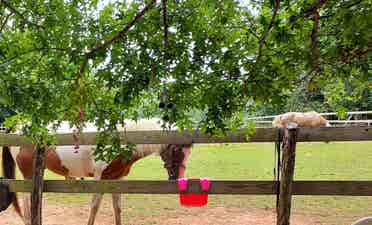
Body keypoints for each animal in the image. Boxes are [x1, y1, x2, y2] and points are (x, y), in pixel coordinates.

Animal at [0, 120, 192, 225]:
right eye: (176, 150)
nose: (177, 178)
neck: (118, 141)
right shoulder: (100, 179)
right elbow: (94, 207)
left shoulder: (117, 180)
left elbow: (118, 208)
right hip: (27, 176)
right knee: (26, 202)